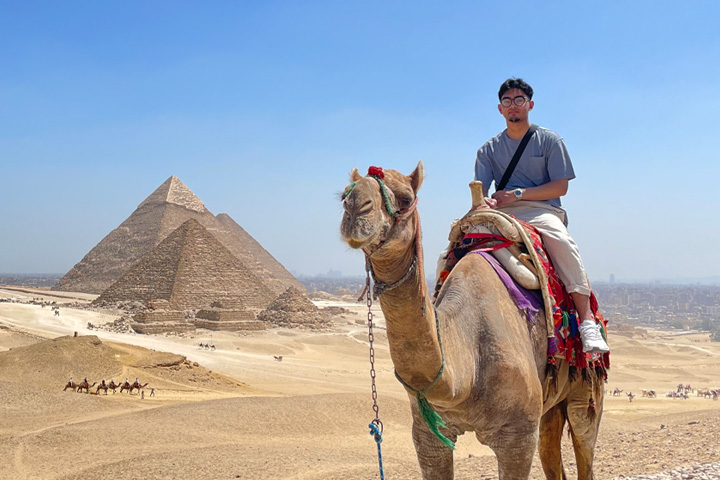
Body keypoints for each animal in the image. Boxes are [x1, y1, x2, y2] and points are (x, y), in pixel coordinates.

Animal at [340, 163, 604, 478]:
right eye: (343, 195)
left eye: (406, 198)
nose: (356, 206)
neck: (466, 373)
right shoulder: (428, 434)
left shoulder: (517, 436)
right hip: (550, 406)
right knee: (551, 448)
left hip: (586, 390)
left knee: (584, 442)